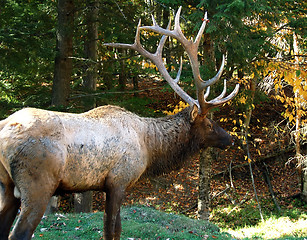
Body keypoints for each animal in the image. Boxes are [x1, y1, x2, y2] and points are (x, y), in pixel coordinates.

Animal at [0, 6, 239, 240]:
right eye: (209, 124)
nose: (230, 139)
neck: (150, 147)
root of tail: (4, 129)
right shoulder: (118, 181)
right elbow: (111, 230)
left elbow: (115, 228)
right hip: (37, 185)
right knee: (19, 232)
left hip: (7, 186)